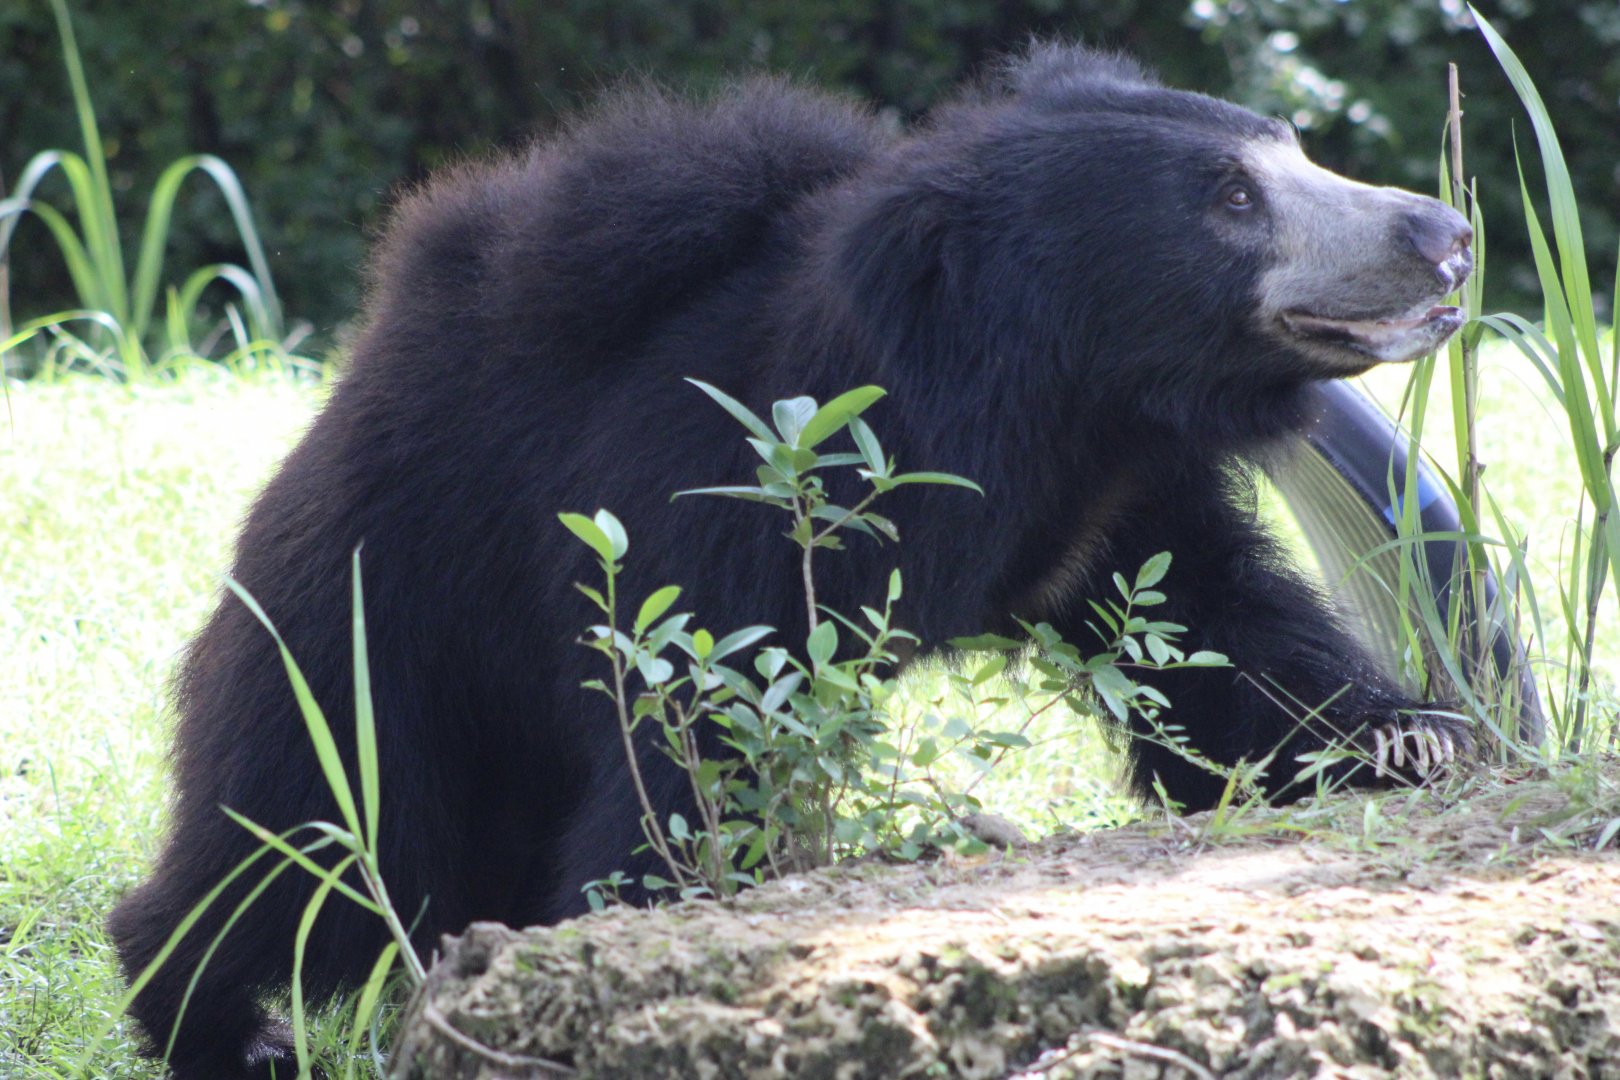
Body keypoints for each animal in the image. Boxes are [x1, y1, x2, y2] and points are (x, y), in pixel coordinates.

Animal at [109, 45, 1474, 1079]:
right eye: (1229, 199)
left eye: (1295, 150)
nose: (1446, 233)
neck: (1041, 405)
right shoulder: (725, 500)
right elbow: (696, 742)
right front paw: (652, 912)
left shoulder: (1118, 509)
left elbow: (1222, 642)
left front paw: (1408, 740)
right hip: (384, 604)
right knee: (316, 824)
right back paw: (226, 1024)